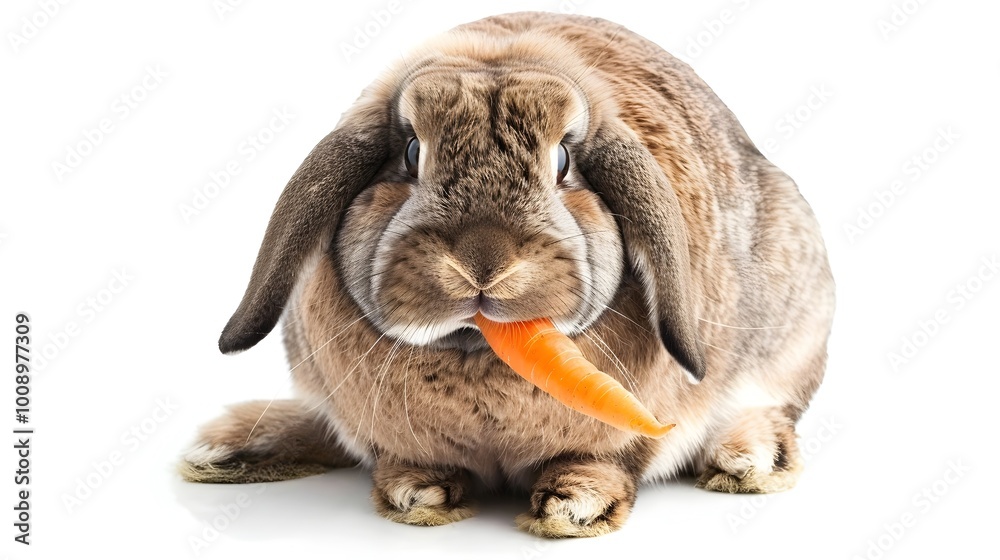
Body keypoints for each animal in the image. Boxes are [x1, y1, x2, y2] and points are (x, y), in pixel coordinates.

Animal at [180, 12, 835, 538]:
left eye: (564, 161)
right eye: (411, 153)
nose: (483, 262)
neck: (478, 353)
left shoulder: (632, 430)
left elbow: (606, 460)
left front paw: (574, 507)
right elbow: (406, 462)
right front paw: (416, 494)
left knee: (771, 407)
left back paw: (748, 459)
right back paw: (224, 446)